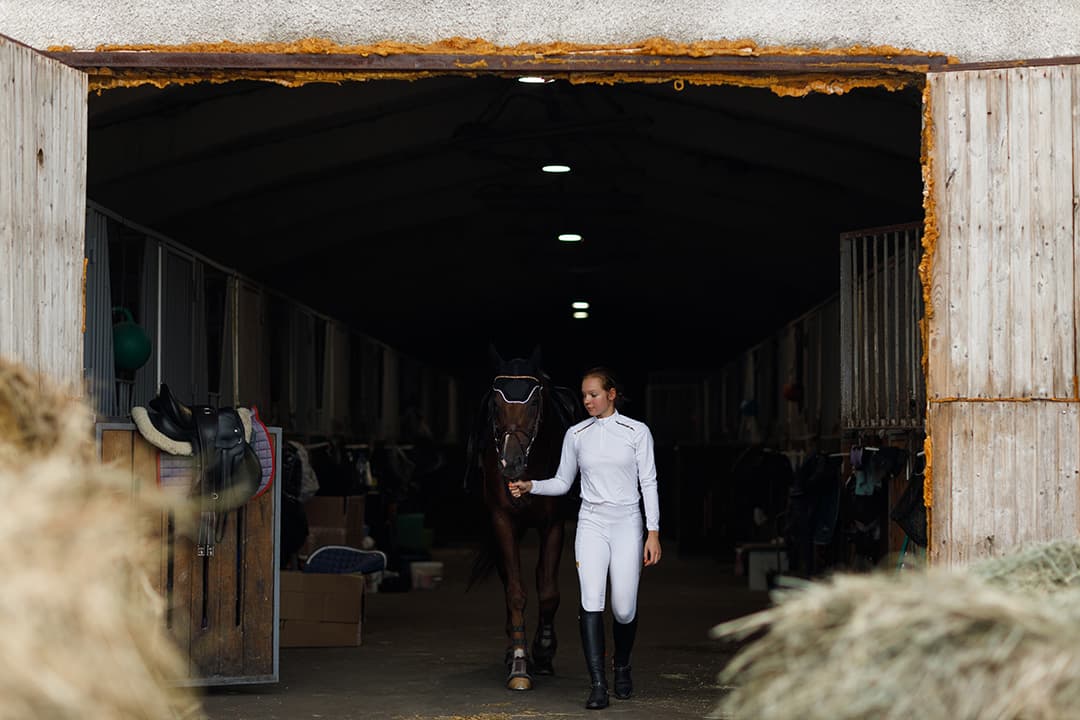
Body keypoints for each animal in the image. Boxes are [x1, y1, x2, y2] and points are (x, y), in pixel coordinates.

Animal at [465, 346, 580, 691]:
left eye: (534, 403)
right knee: (508, 580)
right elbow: (516, 592)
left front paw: (542, 652)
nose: (511, 463)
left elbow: (549, 591)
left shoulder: (554, 524)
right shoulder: (502, 521)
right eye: (495, 403)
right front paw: (519, 664)